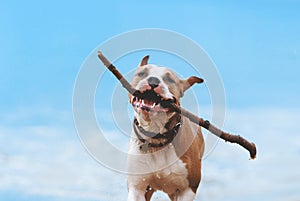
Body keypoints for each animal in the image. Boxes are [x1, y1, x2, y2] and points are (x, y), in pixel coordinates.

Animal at [125, 55, 205, 201]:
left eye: (169, 79)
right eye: (142, 73)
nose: (153, 80)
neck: (157, 139)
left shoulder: (187, 189)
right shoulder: (137, 187)